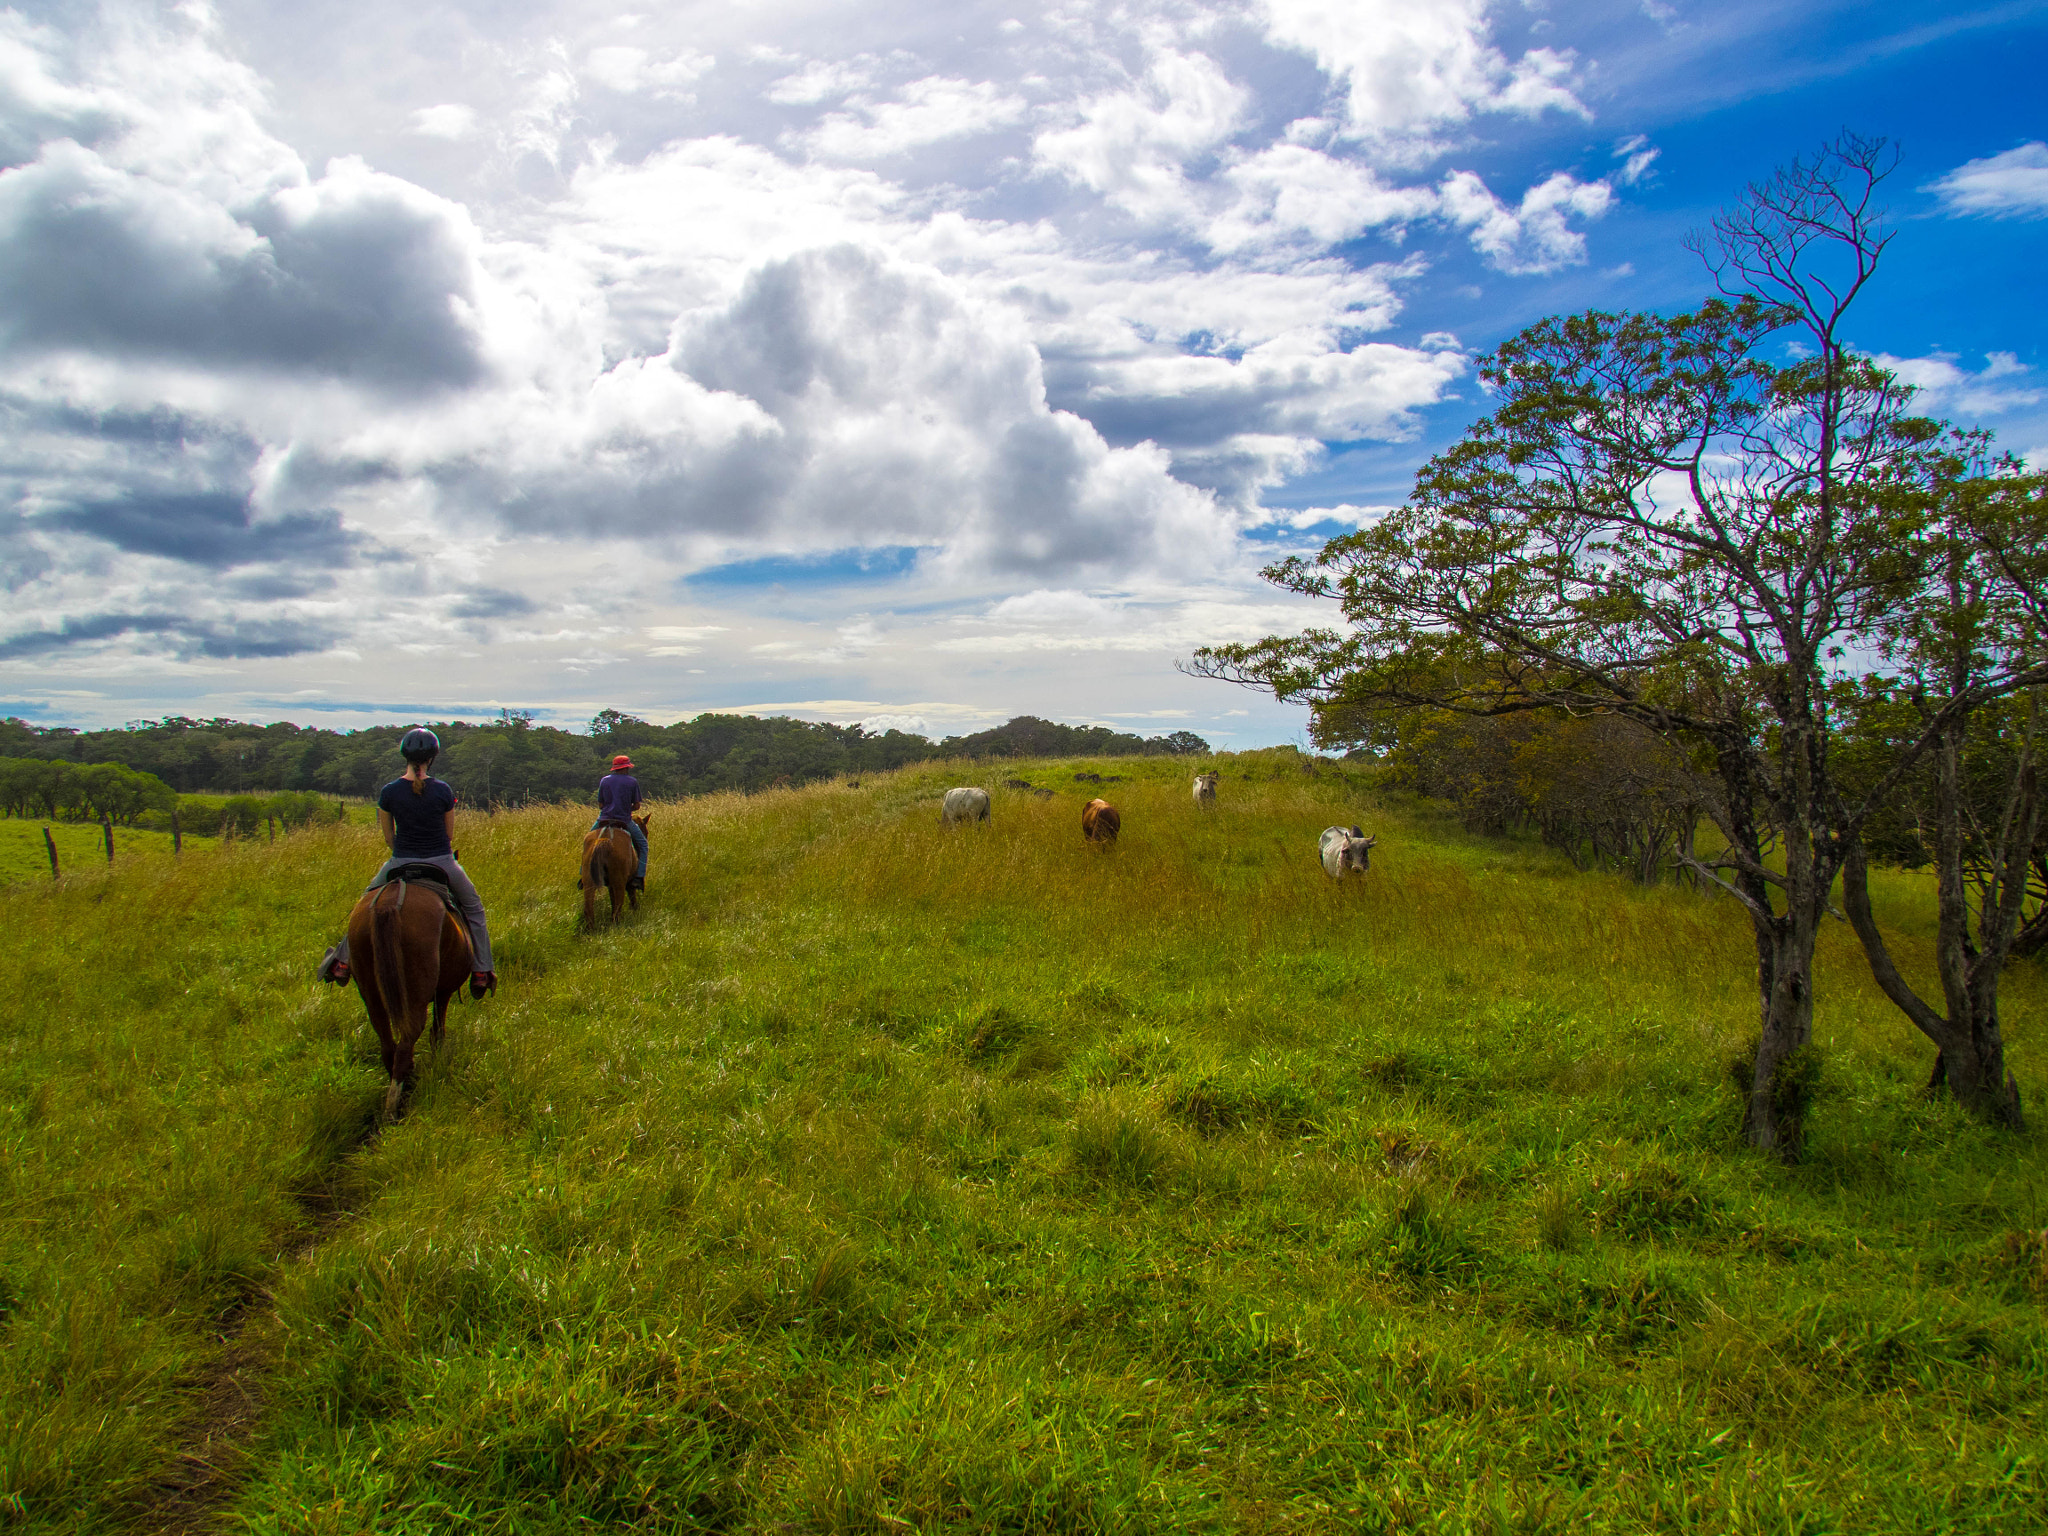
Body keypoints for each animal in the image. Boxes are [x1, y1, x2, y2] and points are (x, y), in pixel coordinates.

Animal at [346, 876, 473, 1122]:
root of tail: (388, 903)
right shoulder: (443, 993)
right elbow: (437, 1032)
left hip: (372, 998)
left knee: (388, 1048)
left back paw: (405, 1089)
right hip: (416, 998)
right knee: (405, 1046)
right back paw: (393, 1110)